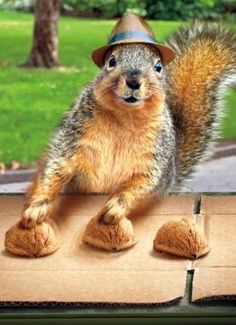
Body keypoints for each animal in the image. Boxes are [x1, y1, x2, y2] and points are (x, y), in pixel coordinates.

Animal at [19, 19, 236, 228]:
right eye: (111, 61)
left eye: (158, 66)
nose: (133, 81)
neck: (125, 118)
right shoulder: (76, 134)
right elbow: (58, 167)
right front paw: (37, 206)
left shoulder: (153, 155)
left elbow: (143, 182)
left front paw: (117, 205)